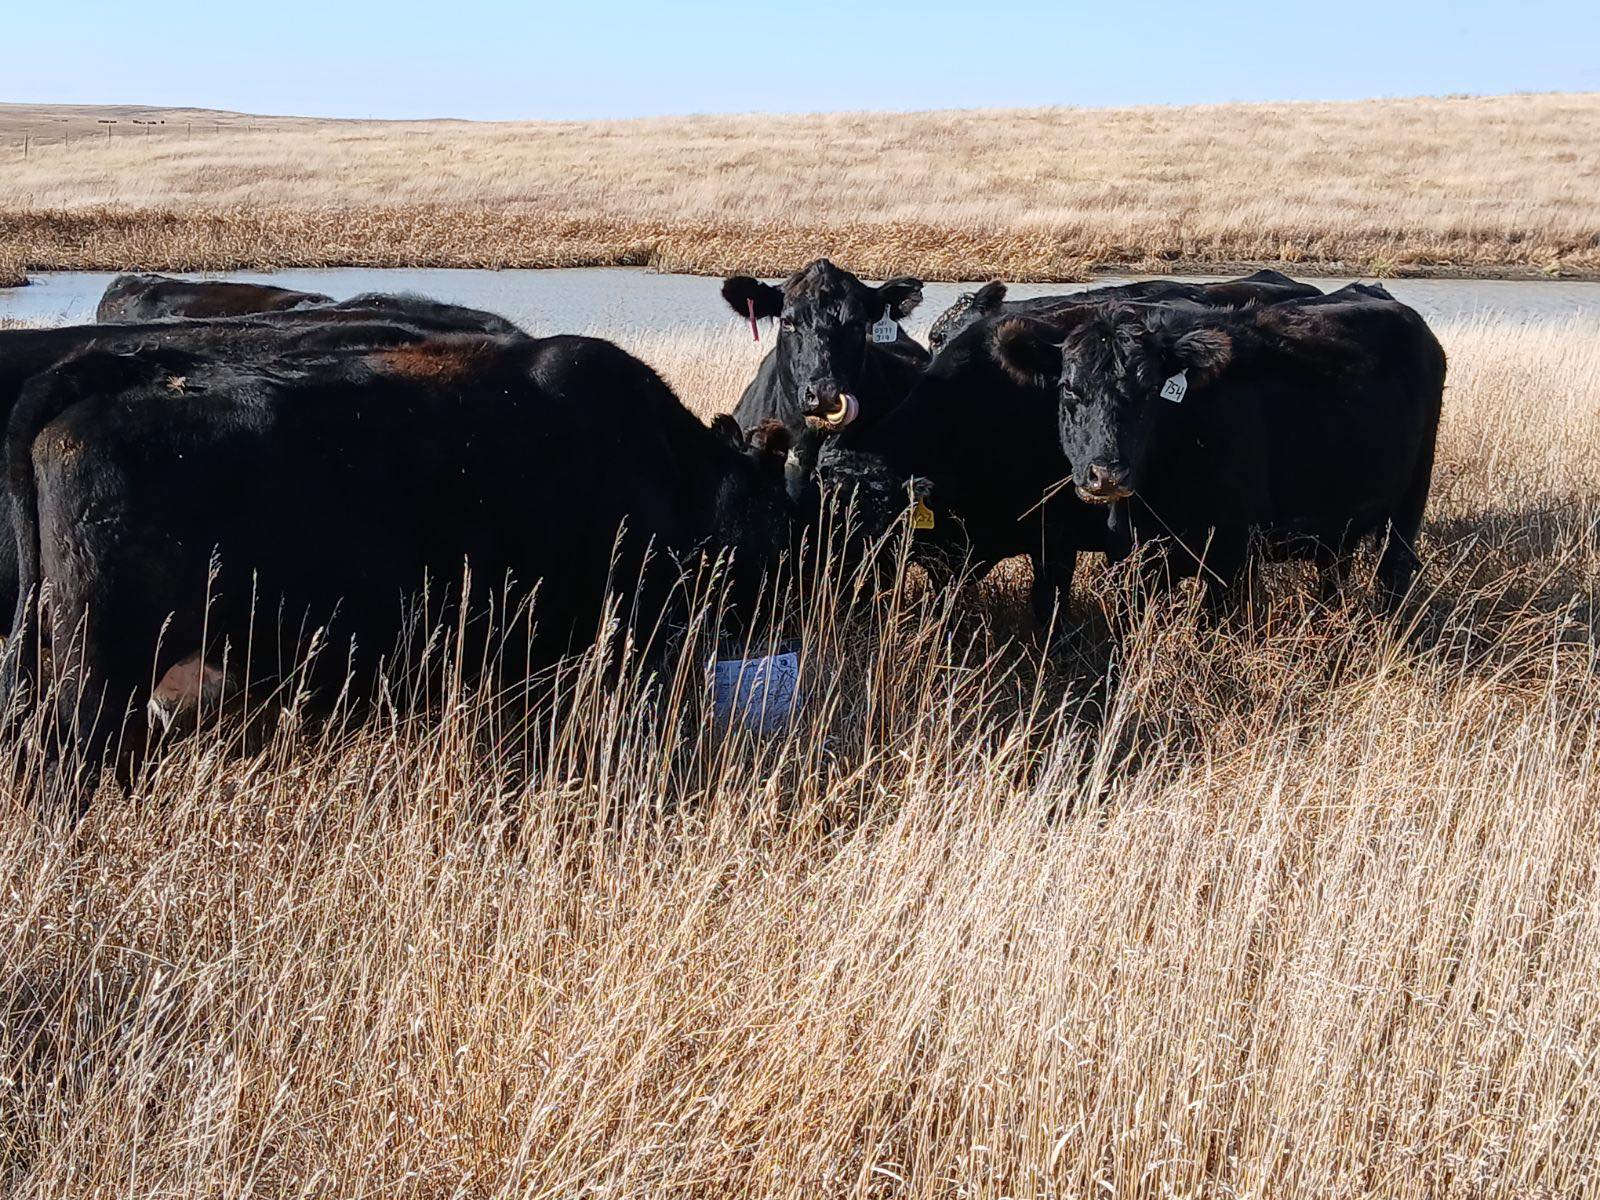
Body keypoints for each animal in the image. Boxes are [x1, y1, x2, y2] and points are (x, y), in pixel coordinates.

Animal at [990, 285, 1446, 606]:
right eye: (1069, 388)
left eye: (1151, 391)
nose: (1107, 474)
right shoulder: (1132, 557)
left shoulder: (1230, 553)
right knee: (1334, 568)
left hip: (1408, 504)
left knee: (1394, 570)